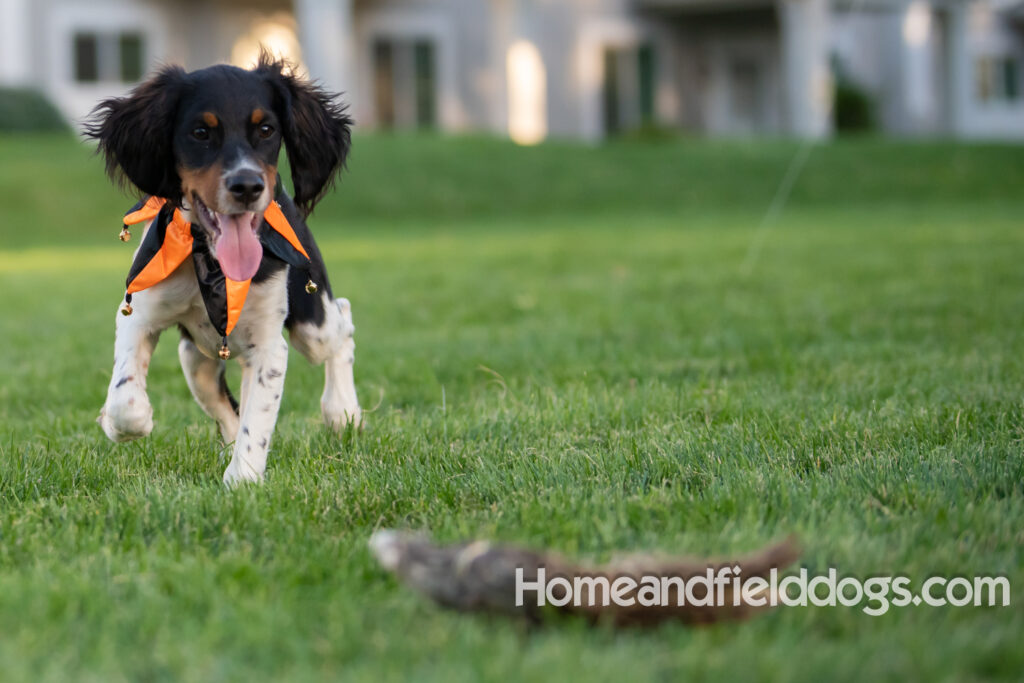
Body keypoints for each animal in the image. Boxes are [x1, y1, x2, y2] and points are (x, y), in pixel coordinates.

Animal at [86, 57, 362, 485]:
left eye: (266, 130)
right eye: (200, 132)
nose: (246, 186)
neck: (212, 264)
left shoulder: (269, 345)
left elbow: (258, 421)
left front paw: (243, 482)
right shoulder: (138, 312)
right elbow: (125, 398)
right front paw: (129, 423)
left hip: (311, 325)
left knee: (342, 322)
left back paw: (342, 411)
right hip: (195, 359)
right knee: (228, 409)